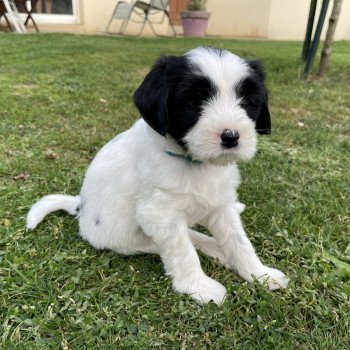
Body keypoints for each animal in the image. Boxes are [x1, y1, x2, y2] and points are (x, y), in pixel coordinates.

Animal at [27, 45, 288, 304]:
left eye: (247, 101)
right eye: (194, 101)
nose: (231, 137)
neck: (194, 163)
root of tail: (80, 206)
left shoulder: (221, 205)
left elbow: (239, 241)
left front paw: (260, 274)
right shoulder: (159, 215)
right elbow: (183, 252)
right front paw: (199, 287)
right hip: (133, 240)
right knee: (186, 241)